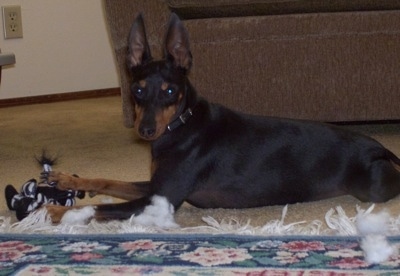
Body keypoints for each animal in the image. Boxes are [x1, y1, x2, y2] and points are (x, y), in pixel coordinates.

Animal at [41, 14, 400, 227]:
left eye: (170, 90)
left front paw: (56, 210)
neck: (182, 125)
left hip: (374, 188)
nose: (146, 130)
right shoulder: (156, 187)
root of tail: (377, 147)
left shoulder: (162, 200)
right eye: (138, 89)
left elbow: (99, 207)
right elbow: (108, 180)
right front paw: (67, 179)